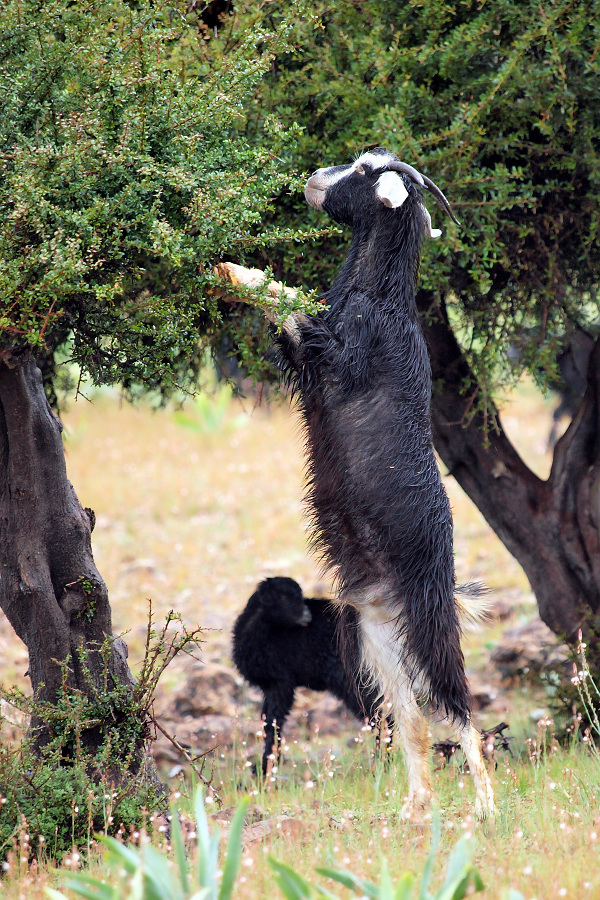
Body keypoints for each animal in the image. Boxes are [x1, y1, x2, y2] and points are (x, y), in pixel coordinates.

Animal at [232, 576, 390, 775]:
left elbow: (274, 723)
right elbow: (267, 721)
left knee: (379, 713)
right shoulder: (270, 686)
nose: (307, 612)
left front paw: (267, 767)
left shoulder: (281, 683)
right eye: (285, 596)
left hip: (354, 679)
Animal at [274, 148, 495, 820]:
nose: (314, 179)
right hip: (377, 642)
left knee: (460, 708)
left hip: (429, 627)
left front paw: (266, 289)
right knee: (414, 720)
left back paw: (486, 806)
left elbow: (301, 325)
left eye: (367, 170)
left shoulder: (347, 362)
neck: (378, 297)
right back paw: (413, 808)